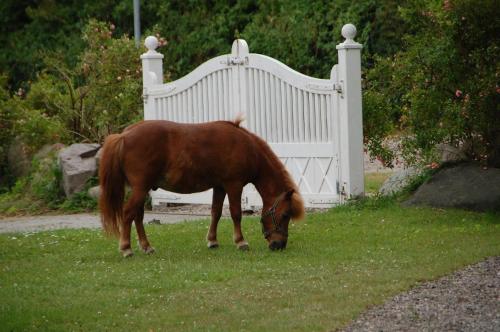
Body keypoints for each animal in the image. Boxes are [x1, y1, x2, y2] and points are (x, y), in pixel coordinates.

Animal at [98, 116, 304, 256]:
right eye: (285, 215)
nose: (279, 245)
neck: (247, 148)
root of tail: (124, 135)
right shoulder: (234, 185)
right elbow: (236, 214)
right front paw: (240, 242)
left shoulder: (220, 187)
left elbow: (216, 212)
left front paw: (212, 241)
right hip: (140, 188)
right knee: (128, 213)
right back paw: (126, 248)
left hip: (141, 189)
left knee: (138, 216)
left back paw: (147, 247)